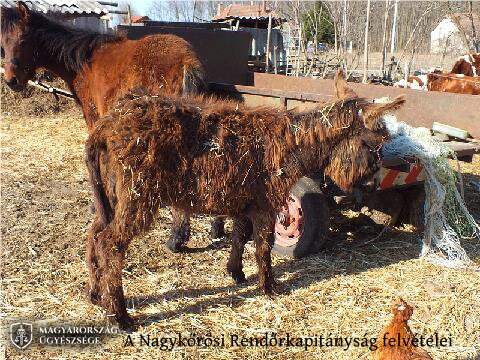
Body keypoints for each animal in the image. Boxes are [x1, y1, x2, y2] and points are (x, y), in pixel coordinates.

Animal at [0, 1, 223, 253]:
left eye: (23, 40)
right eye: (3, 44)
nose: (11, 81)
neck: (85, 62)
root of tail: (186, 61)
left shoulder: (95, 119)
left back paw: (177, 236)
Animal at [84, 89, 404, 330]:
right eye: (374, 144)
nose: (374, 184)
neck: (292, 145)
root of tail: (107, 124)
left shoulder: (244, 203)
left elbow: (240, 236)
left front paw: (236, 273)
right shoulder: (266, 206)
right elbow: (263, 246)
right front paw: (269, 288)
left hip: (111, 200)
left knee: (94, 234)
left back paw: (97, 296)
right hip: (136, 199)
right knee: (111, 244)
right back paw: (120, 317)